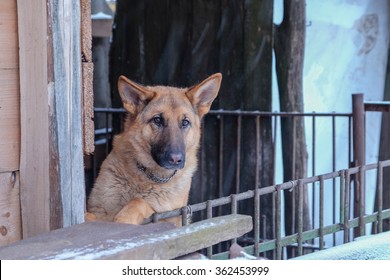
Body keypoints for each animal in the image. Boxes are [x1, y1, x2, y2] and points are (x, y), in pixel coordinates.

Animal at [88, 74, 222, 225]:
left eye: (185, 122)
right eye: (157, 120)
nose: (175, 159)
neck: (147, 176)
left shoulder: (171, 217)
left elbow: (140, 202)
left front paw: (123, 218)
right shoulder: (97, 210)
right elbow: (89, 215)